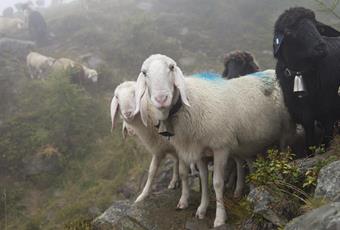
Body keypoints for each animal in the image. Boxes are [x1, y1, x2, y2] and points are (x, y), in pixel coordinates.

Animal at [135, 54, 294, 228]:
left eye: (171, 67)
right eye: (144, 73)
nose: (161, 99)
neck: (190, 105)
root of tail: (271, 71)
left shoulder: (220, 147)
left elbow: (217, 183)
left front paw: (219, 218)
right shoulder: (199, 152)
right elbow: (204, 180)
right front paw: (202, 209)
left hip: (286, 131)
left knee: (284, 152)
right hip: (245, 143)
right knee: (246, 162)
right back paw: (247, 187)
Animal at [272, 6, 340, 151]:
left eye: (317, 27)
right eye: (288, 32)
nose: (321, 47)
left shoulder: (328, 110)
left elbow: (327, 138)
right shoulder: (302, 114)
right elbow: (309, 138)